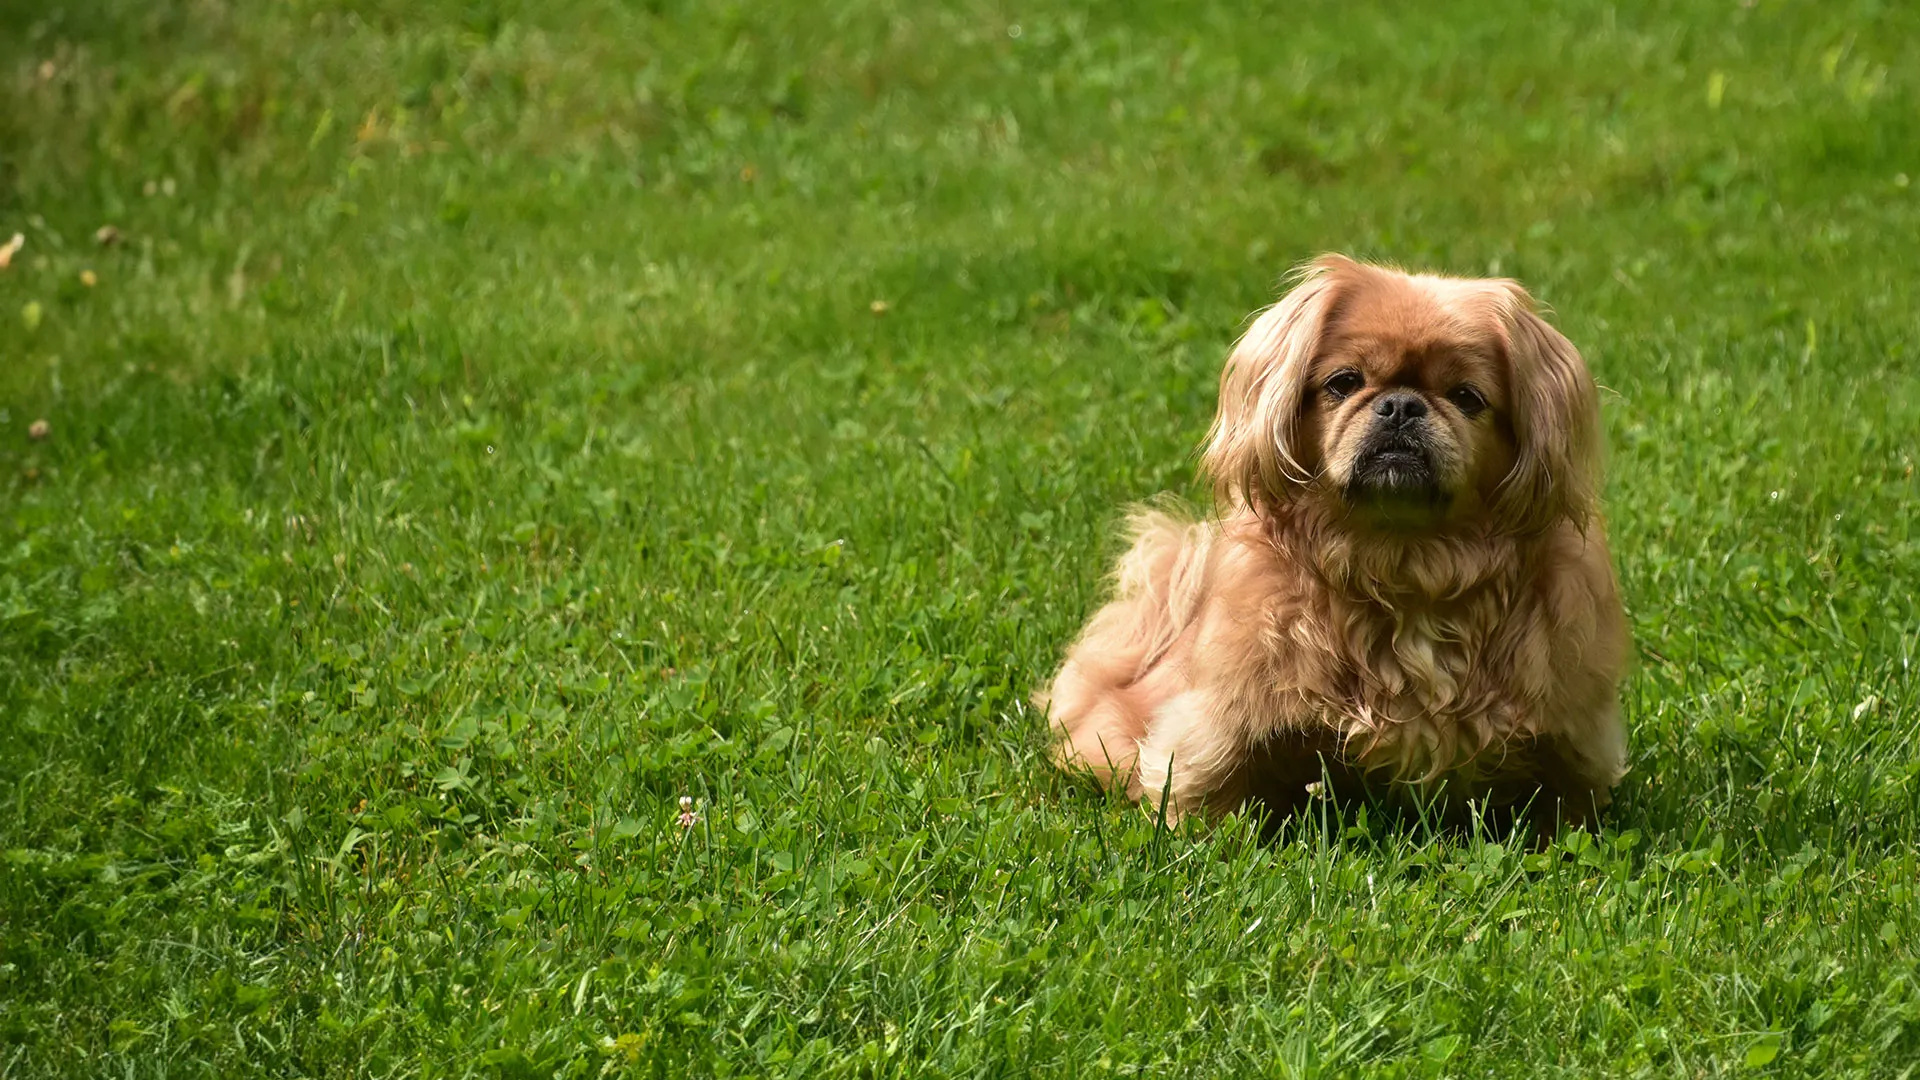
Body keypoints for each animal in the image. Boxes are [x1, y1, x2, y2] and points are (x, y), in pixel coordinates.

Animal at [1044, 251, 1628, 834]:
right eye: (1344, 382)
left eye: (1466, 398)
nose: (1401, 405)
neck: (1402, 561)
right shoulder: (1220, 723)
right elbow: (1207, 783)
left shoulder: (1572, 735)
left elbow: (1564, 802)